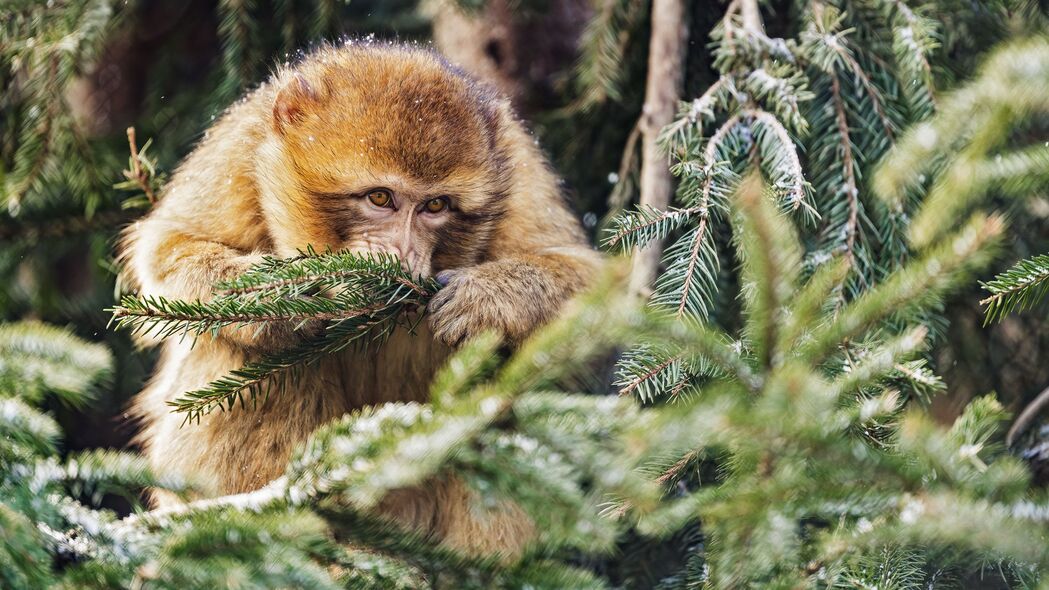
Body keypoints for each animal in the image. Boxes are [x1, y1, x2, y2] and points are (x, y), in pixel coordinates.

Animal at [118, 42, 600, 554]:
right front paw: (283, 295)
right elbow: (167, 249)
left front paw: (484, 299)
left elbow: (591, 283)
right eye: (380, 198)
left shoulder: (520, 169)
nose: (401, 256)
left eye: (435, 205)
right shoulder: (238, 152)